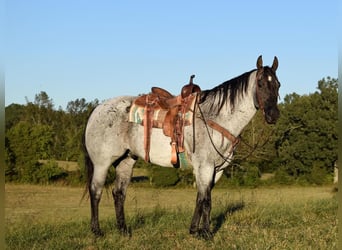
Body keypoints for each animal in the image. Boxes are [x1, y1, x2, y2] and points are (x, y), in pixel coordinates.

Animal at [83, 55, 280, 238]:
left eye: (278, 84)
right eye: (260, 84)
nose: (273, 115)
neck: (215, 118)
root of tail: (97, 109)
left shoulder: (216, 170)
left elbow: (200, 198)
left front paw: (194, 230)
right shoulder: (205, 167)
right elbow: (207, 201)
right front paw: (206, 233)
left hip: (126, 161)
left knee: (119, 193)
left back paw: (123, 230)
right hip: (102, 163)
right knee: (96, 191)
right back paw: (96, 231)